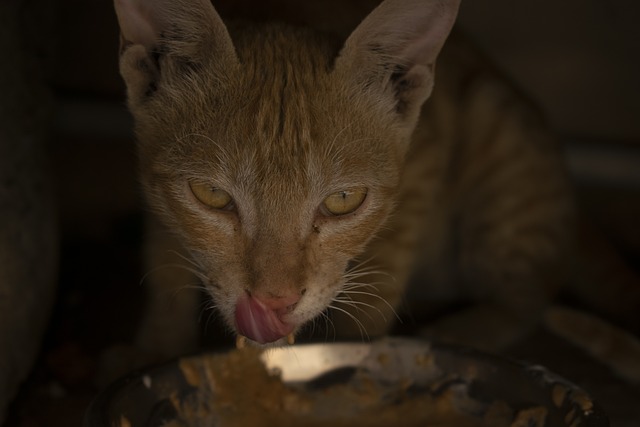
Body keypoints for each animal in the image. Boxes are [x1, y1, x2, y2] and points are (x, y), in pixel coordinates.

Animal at [114, 0, 576, 360]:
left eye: (343, 200)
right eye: (211, 194)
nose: (274, 301)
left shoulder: (425, 163)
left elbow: (384, 274)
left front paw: (356, 349)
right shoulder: (153, 190)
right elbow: (163, 265)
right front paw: (156, 347)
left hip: (497, 133)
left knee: (531, 294)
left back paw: (463, 331)